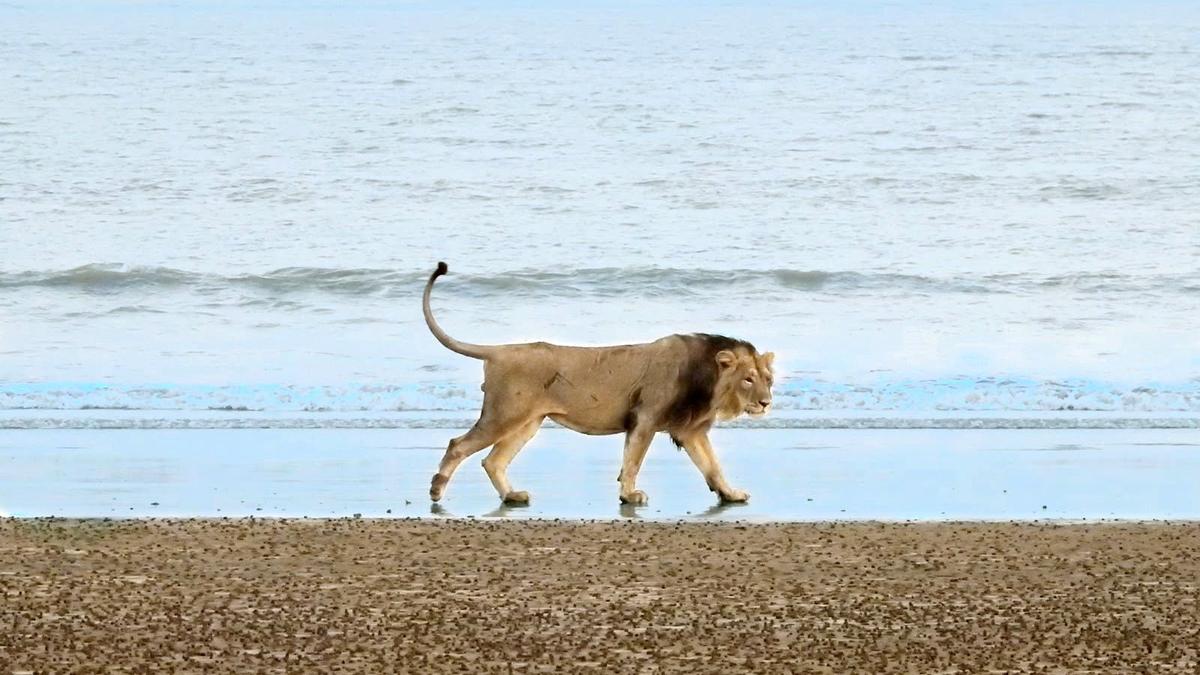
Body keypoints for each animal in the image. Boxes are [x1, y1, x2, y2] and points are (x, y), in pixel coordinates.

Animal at [422, 262, 775, 506]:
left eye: (768, 380)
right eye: (748, 379)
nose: (766, 402)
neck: (709, 379)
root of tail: (498, 351)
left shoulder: (691, 431)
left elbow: (713, 466)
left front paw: (730, 493)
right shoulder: (645, 418)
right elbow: (633, 460)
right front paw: (629, 496)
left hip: (527, 422)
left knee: (493, 461)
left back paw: (511, 496)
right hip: (504, 415)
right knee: (458, 445)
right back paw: (437, 490)